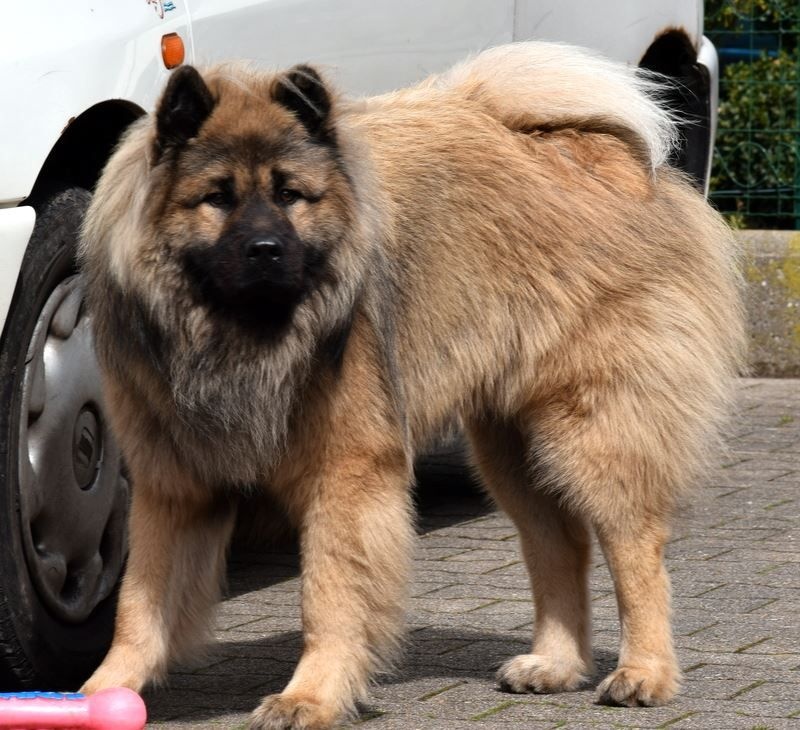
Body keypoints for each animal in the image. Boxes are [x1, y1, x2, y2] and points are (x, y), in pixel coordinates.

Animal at [78, 42, 748, 724]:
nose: (266, 249)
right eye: (217, 197)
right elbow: (138, 604)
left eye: (291, 194)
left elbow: (327, 595)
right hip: (510, 448)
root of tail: (605, 154)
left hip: (589, 432)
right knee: (559, 544)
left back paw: (643, 672)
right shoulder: (173, 481)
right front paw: (102, 690)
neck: (242, 335)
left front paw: (310, 695)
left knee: (636, 548)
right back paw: (555, 665)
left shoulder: (345, 473)